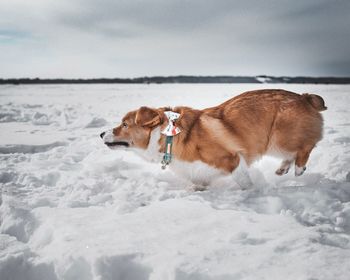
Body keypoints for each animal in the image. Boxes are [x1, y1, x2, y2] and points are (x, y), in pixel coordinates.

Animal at [100, 90, 326, 188]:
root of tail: (305, 97)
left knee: (306, 146)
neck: (169, 137)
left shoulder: (233, 160)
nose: (101, 134)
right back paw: (283, 169)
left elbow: (246, 183)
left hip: (279, 138)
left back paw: (298, 168)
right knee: (292, 154)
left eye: (125, 124)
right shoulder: (200, 176)